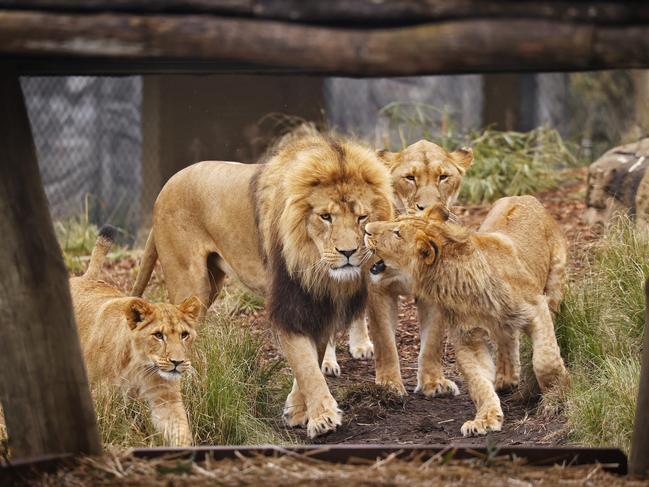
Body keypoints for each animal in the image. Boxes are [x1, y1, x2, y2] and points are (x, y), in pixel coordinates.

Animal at [69, 225, 201, 446]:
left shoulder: (165, 400)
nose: (177, 362)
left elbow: (180, 432)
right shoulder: (101, 396)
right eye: (158, 335)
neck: (140, 366)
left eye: (184, 335)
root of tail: (86, 278)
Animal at [132, 132, 390, 438]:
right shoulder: (288, 304)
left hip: (211, 284)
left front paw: (297, 410)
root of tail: (165, 187)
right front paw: (323, 418)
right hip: (190, 281)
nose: (348, 252)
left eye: (362, 217)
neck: (313, 261)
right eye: (325, 217)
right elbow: (305, 365)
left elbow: (312, 359)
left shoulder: (316, 303)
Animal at [322, 139, 474, 398]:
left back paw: (361, 345)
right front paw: (389, 385)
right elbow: (385, 341)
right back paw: (327, 362)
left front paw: (434, 383)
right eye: (410, 178)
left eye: (443, 177)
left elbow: (432, 341)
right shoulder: (378, 289)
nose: (428, 208)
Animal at [364, 196, 568, 436]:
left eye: (397, 233)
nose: (366, 228)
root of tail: (523, 196)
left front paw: (557, 395)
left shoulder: (537, 308)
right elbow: (478, 382)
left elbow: (545, 359)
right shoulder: (467, 338)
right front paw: (485, 419)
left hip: (555, 284)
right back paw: (506, 378)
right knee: (507, 338)